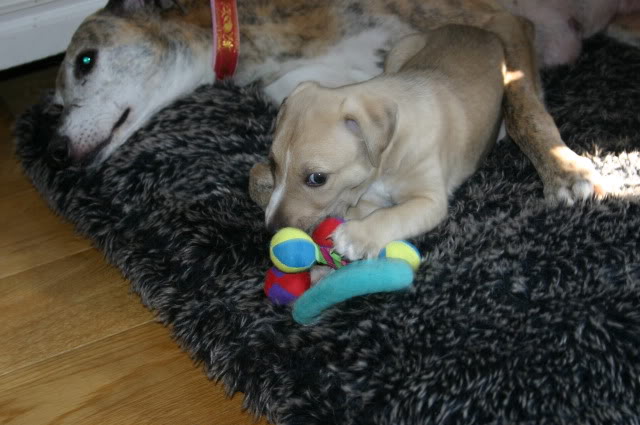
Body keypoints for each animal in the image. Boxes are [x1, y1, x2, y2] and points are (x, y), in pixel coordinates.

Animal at [51, 0, 640, 204]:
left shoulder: (502, 22)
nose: (55, 150)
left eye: (85, 60)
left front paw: (565, 172)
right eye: (53, 103)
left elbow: (523, 110)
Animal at [252, 27, 508, 258]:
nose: (271, 229)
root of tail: (483, 31)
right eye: (273, 164)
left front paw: (356, 236)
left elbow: (393, 214)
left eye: (317, 178)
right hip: (400, 50)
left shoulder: (430, 200)